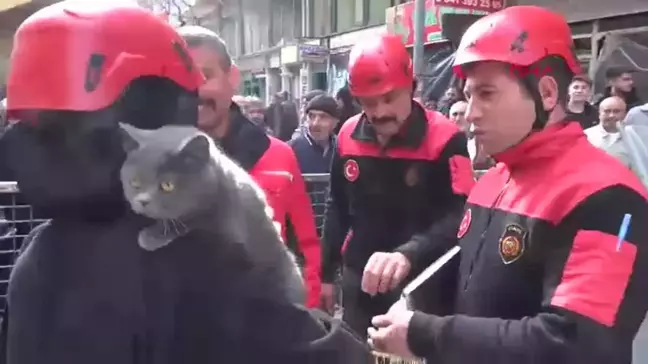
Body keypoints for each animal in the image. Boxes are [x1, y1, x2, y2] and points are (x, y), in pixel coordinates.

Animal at [119, 124, 306, 304]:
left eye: (167, 185)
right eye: (135, 182)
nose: (142, 201)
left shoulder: (228, 223)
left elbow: (195, 219)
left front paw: (152, 235)